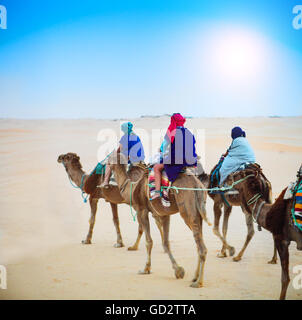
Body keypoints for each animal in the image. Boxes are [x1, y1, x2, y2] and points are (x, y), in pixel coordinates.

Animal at [107, 151, 211, 288]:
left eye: (109, 157)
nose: (105, 164)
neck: (132, 187)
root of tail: (197, 186)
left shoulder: (142, 210)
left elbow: (149, 242)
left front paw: (145, 269)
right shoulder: (164, 214)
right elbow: (165, 243)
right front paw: (178, 270)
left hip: (187, 212)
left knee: (202, 247)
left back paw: (199, 282)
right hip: (198, 212)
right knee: (198, 242)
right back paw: (194, 277)